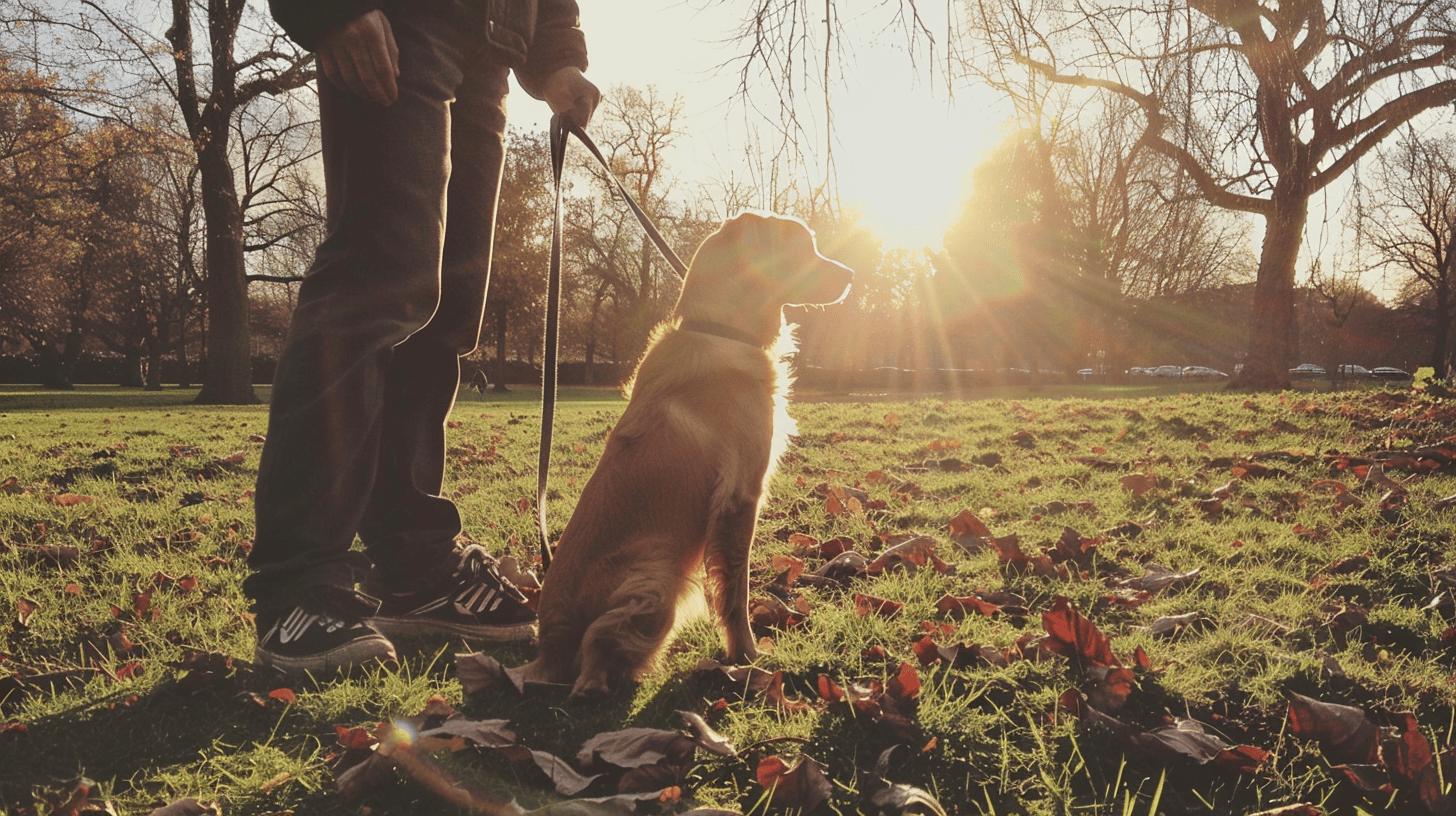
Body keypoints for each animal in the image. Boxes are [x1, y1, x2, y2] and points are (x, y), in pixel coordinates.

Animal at [527, 208, 850, 693]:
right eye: (802, 247)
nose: (851, 275)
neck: (722, 330)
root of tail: (549, 646)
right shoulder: (740, 494)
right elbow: (734, 589)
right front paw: (747, 656)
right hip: (656, 577)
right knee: (593, 662)